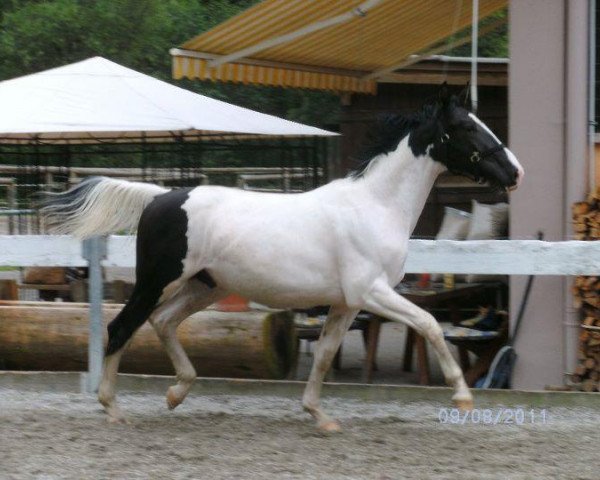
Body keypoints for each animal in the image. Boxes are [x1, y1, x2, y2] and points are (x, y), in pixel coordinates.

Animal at [42, 84, 520, 434]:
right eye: (466, 128)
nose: (515, 172)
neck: (375, 206)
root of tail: (161, 196)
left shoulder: (348, 302)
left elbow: (325, 353)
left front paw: (320, 417)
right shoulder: (372, 291)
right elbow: (429, 324)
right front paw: (462, 397)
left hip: (205, 286)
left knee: (162, 322)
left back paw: (176, 393)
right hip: (157, 280)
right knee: (122, 327)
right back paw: (113, 408)